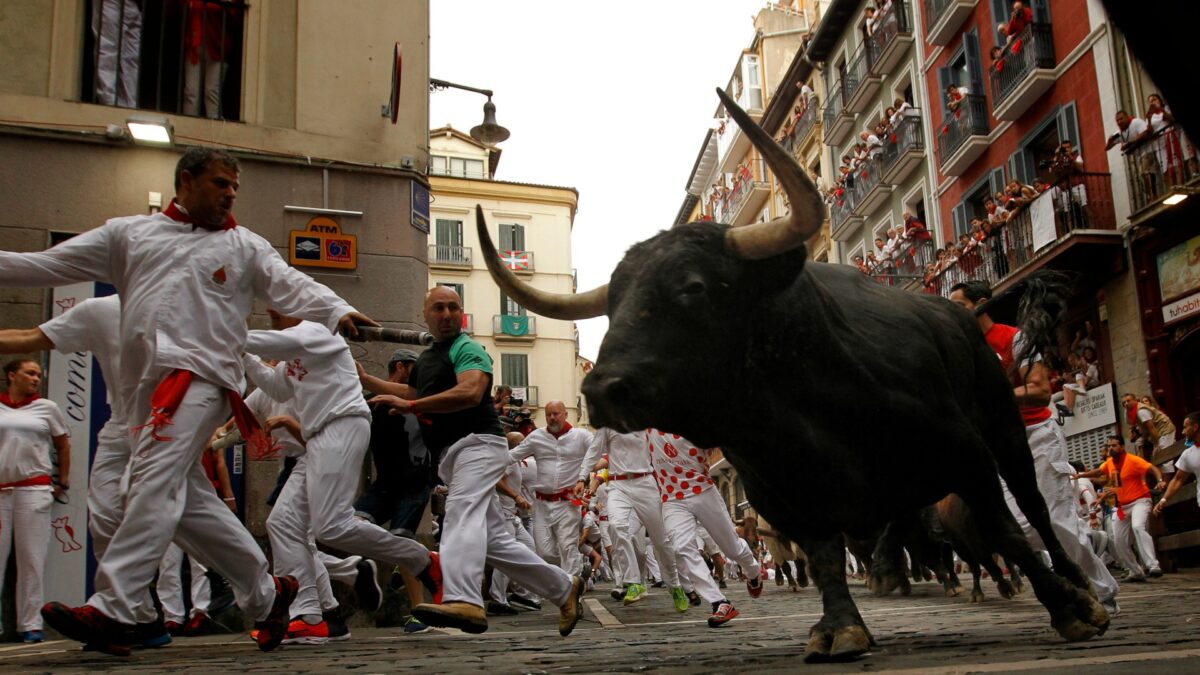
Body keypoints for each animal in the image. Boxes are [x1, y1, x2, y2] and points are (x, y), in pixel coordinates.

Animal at [475, 86, 1104, 658]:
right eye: (614, 303)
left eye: (693, 287)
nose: (603, 389)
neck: (798, 413)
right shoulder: (783, 494)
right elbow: (825, 555)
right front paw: (840, 626)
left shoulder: (967, 454)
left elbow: (1005, 529)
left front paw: (1071, 607)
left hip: (1004, 427)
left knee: (1034, 510)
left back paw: (1081, 584)